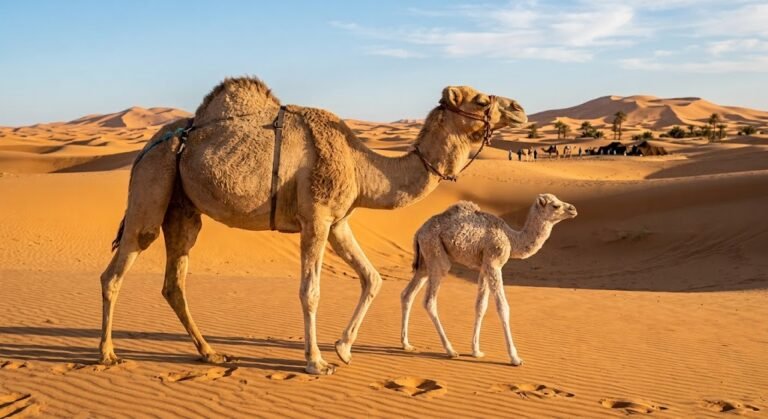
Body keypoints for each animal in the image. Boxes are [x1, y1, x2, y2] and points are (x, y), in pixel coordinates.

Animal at [99, 77, 527, 375]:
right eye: (481, 100)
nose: (519, 108)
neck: (361, 165)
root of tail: (147, 146)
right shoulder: (316, 218)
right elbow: (310, 291)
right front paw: (316, 361)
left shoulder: (338, 222)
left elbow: (372, 278)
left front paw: (344, 348)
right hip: (153, 181)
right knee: (119, 267)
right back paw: (107, 354)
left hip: (183, 207)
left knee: (174, 281)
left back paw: (211, 353)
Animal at [400, 194, 577, 365]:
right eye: (555, 205)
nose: (573, 209)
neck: (512, 239)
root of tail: (419, 231)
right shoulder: (494, 263)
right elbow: (503, 307)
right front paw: (515, 358)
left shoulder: (484, 266)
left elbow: (481, 306)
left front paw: (476, 351)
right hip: (436, 253)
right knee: (429, 301)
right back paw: (450, 350)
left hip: (425, 261)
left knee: (407, 294)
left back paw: (406, 344)